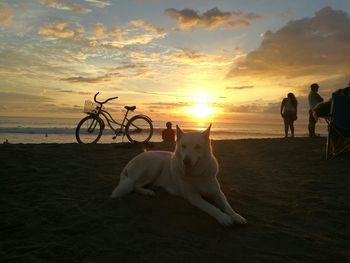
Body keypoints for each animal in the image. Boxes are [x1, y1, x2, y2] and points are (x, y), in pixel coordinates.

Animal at [110, 125, 246, 227]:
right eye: (183, 146)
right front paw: (223, 217)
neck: (197, 175)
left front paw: (236, 216)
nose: (186, 161)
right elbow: (211, 207)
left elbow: (227, 205)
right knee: (134, 184)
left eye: (197, 147)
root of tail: (130, 162)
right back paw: (147, 191)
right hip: (155, 163)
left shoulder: (217, 193)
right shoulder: (194, 197)